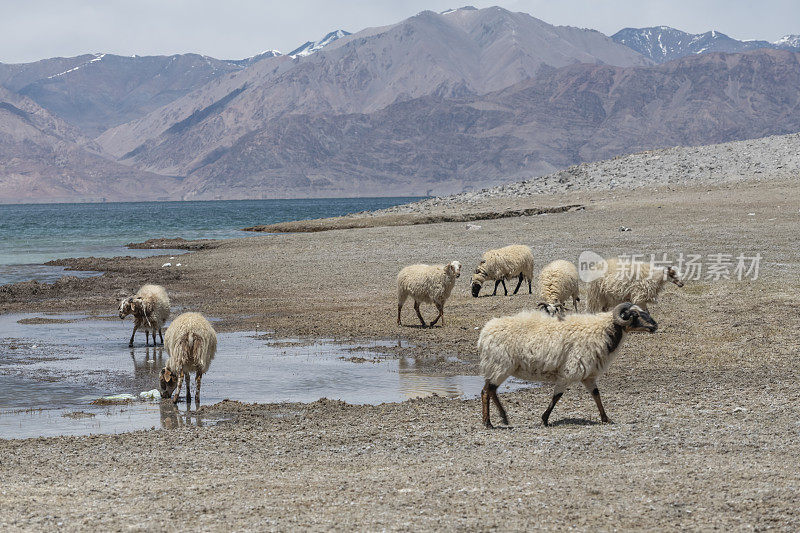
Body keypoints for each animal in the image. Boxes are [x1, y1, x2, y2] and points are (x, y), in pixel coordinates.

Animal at [482, 304, 656, 428]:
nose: (655, 326)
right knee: (487, 391)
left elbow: (596, 394)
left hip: (497, 367)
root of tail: (485, 332)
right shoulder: (569, 371)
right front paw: (545, 419)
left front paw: (605, 418)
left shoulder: (588, 375)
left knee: (489, 390)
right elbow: (557, 396)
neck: (603, 331)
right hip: (500, 365)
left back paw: (500, 418)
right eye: (635, 315)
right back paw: (489, 422)